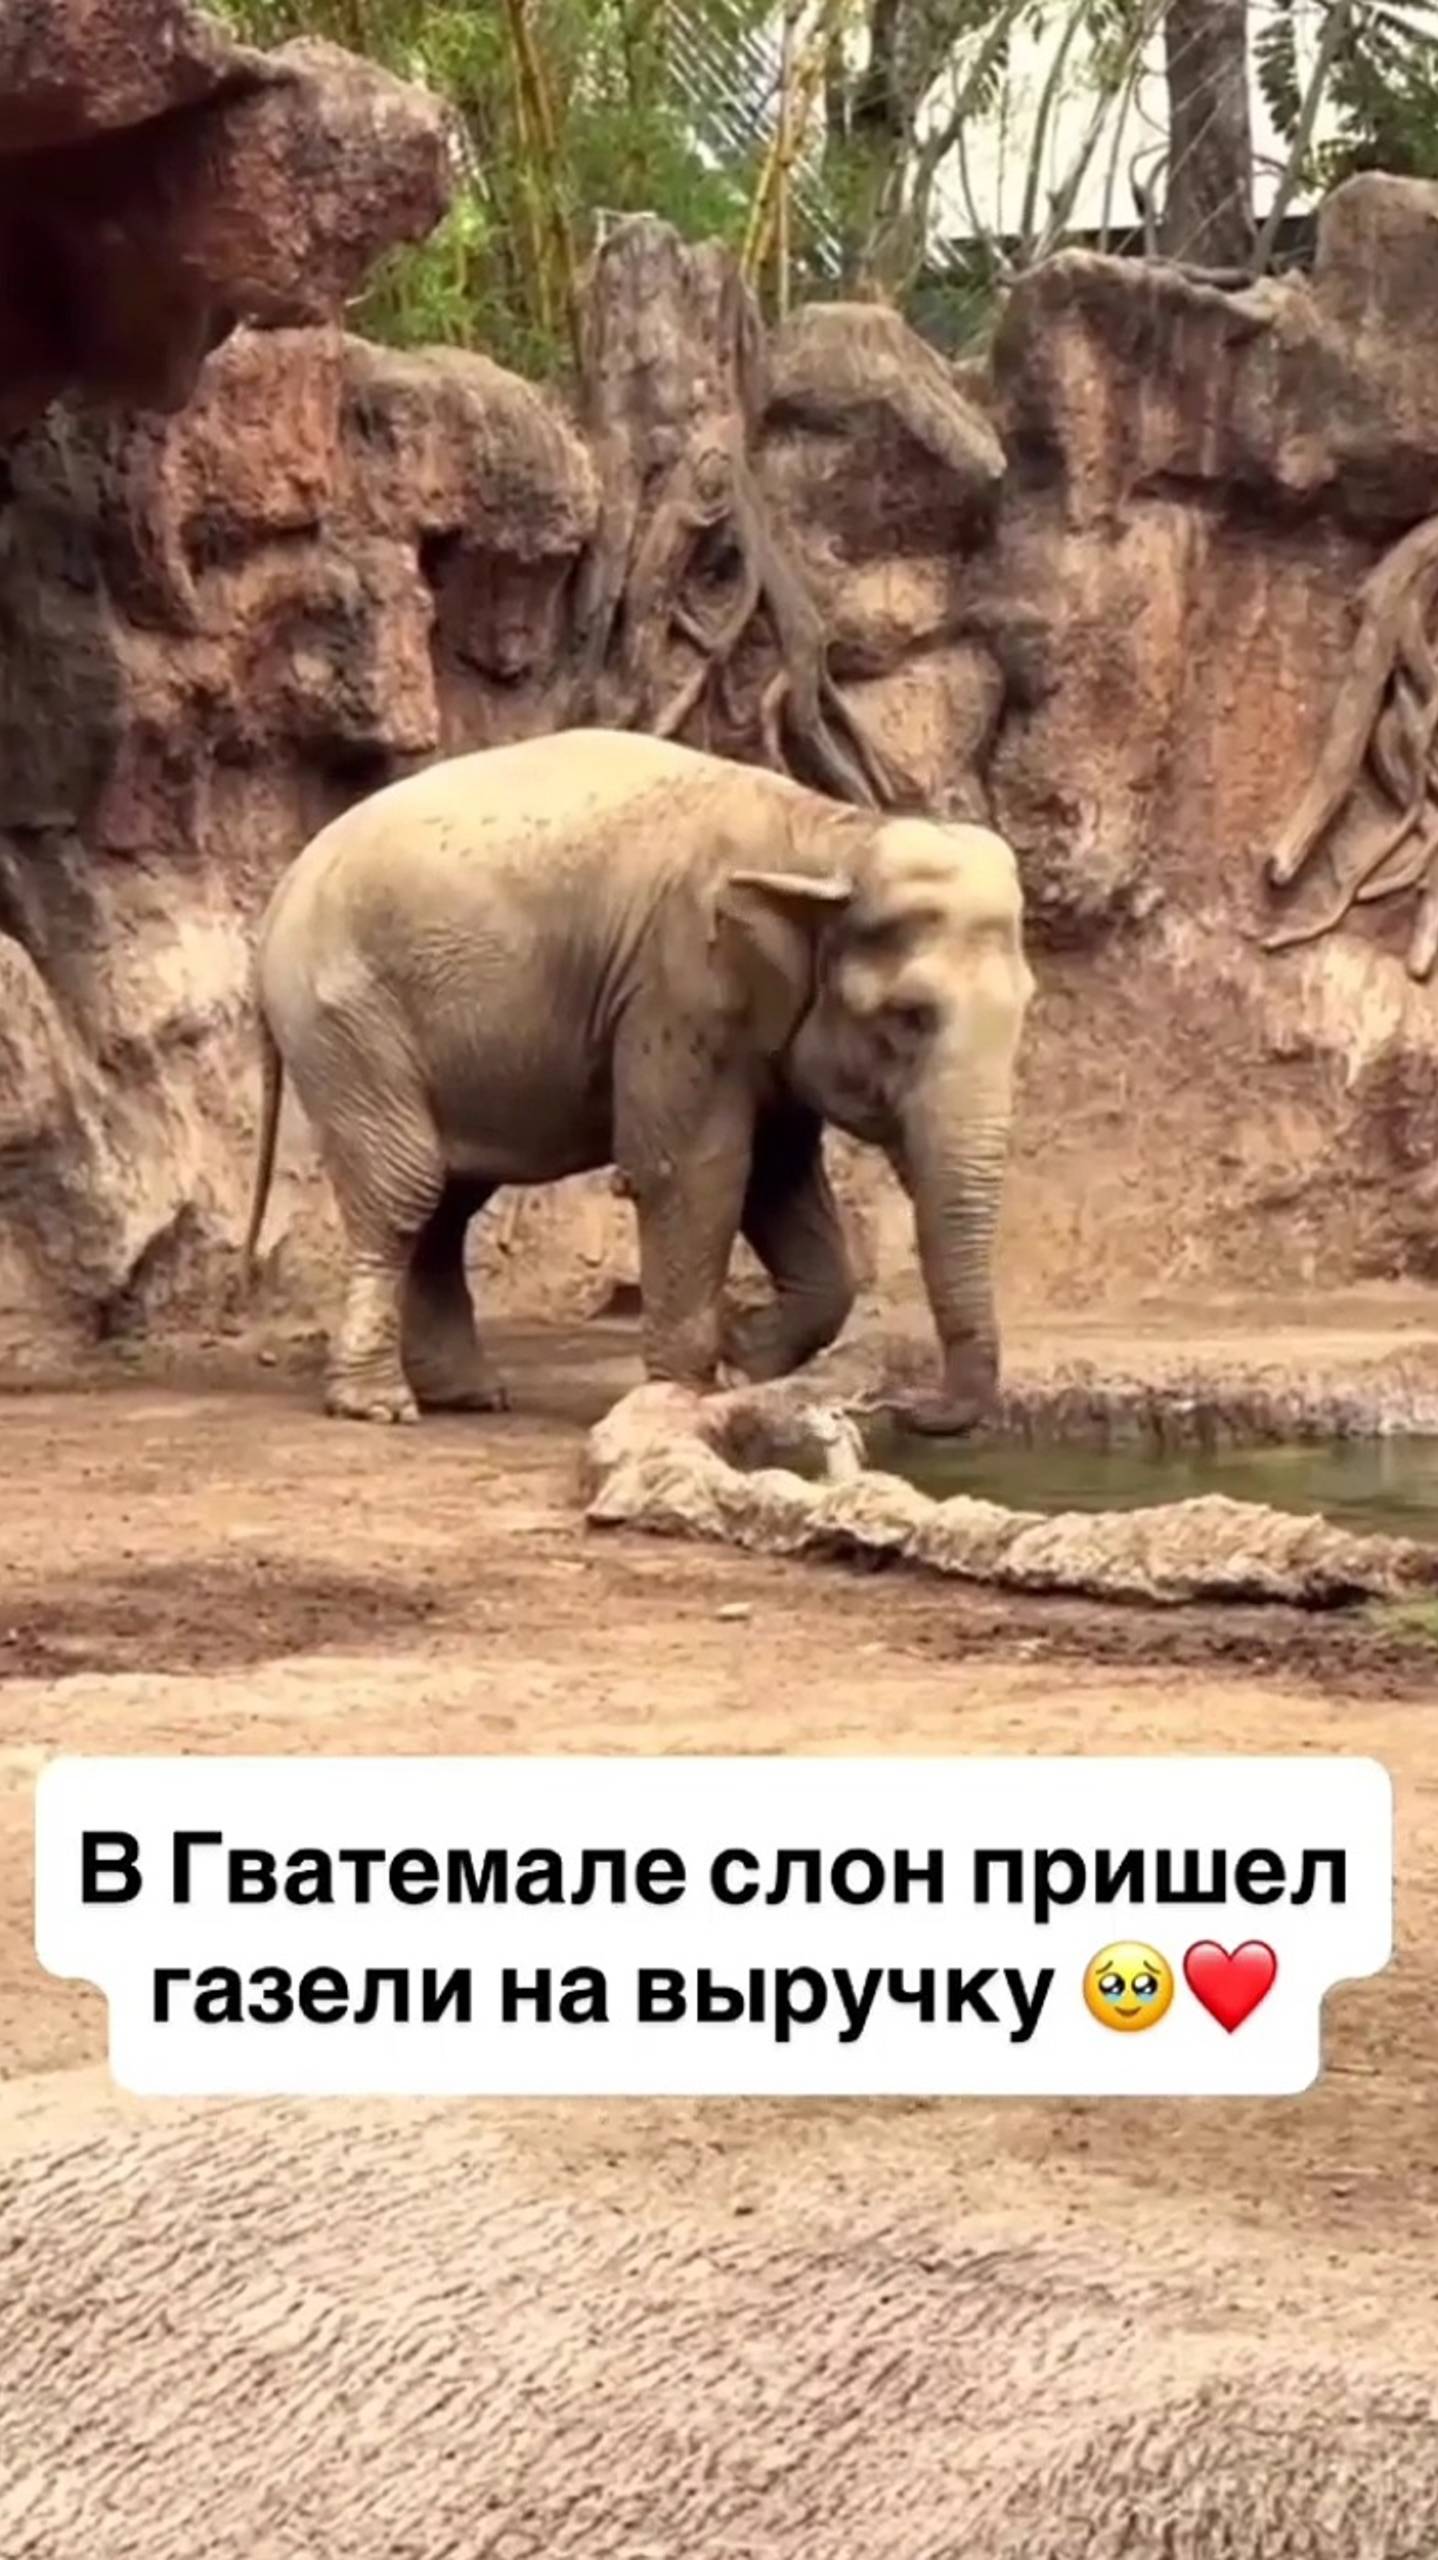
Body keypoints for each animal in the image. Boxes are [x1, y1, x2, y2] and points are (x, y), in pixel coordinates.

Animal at [242, 727, 1034, 1430]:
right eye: (909, 1016)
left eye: (1028, 1003)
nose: (910, 1408)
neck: (826, 835)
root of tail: (278, 897)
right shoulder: (677, 982)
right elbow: (695, 1169)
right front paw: (685, 1396)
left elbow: (777, 1178)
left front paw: (745, 1360)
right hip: (345, 1018)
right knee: (406, 1188)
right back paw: (379, 1406)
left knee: (447, 1198)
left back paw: (466, 1397)